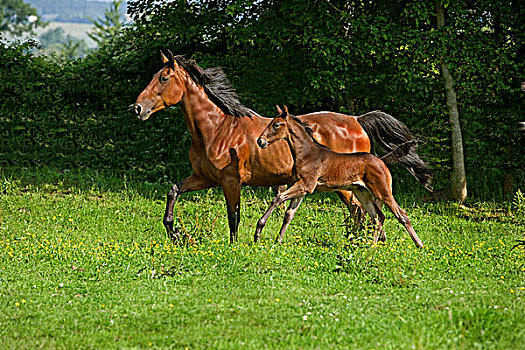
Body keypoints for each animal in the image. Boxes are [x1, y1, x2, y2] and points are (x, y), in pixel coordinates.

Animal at [256, 105, 424, 247]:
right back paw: (371, 245)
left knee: (401, 215)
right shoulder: (303, 188)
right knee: (378, 217)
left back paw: (419, 245)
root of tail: (381, 160)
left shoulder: (306, 185)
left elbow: (278, 198)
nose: (260, 141)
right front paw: (278, 240)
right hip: (362, 192)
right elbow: (289, 214)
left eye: (276, 124)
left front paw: (258, 231)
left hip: (383, 191)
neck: (308, 153)